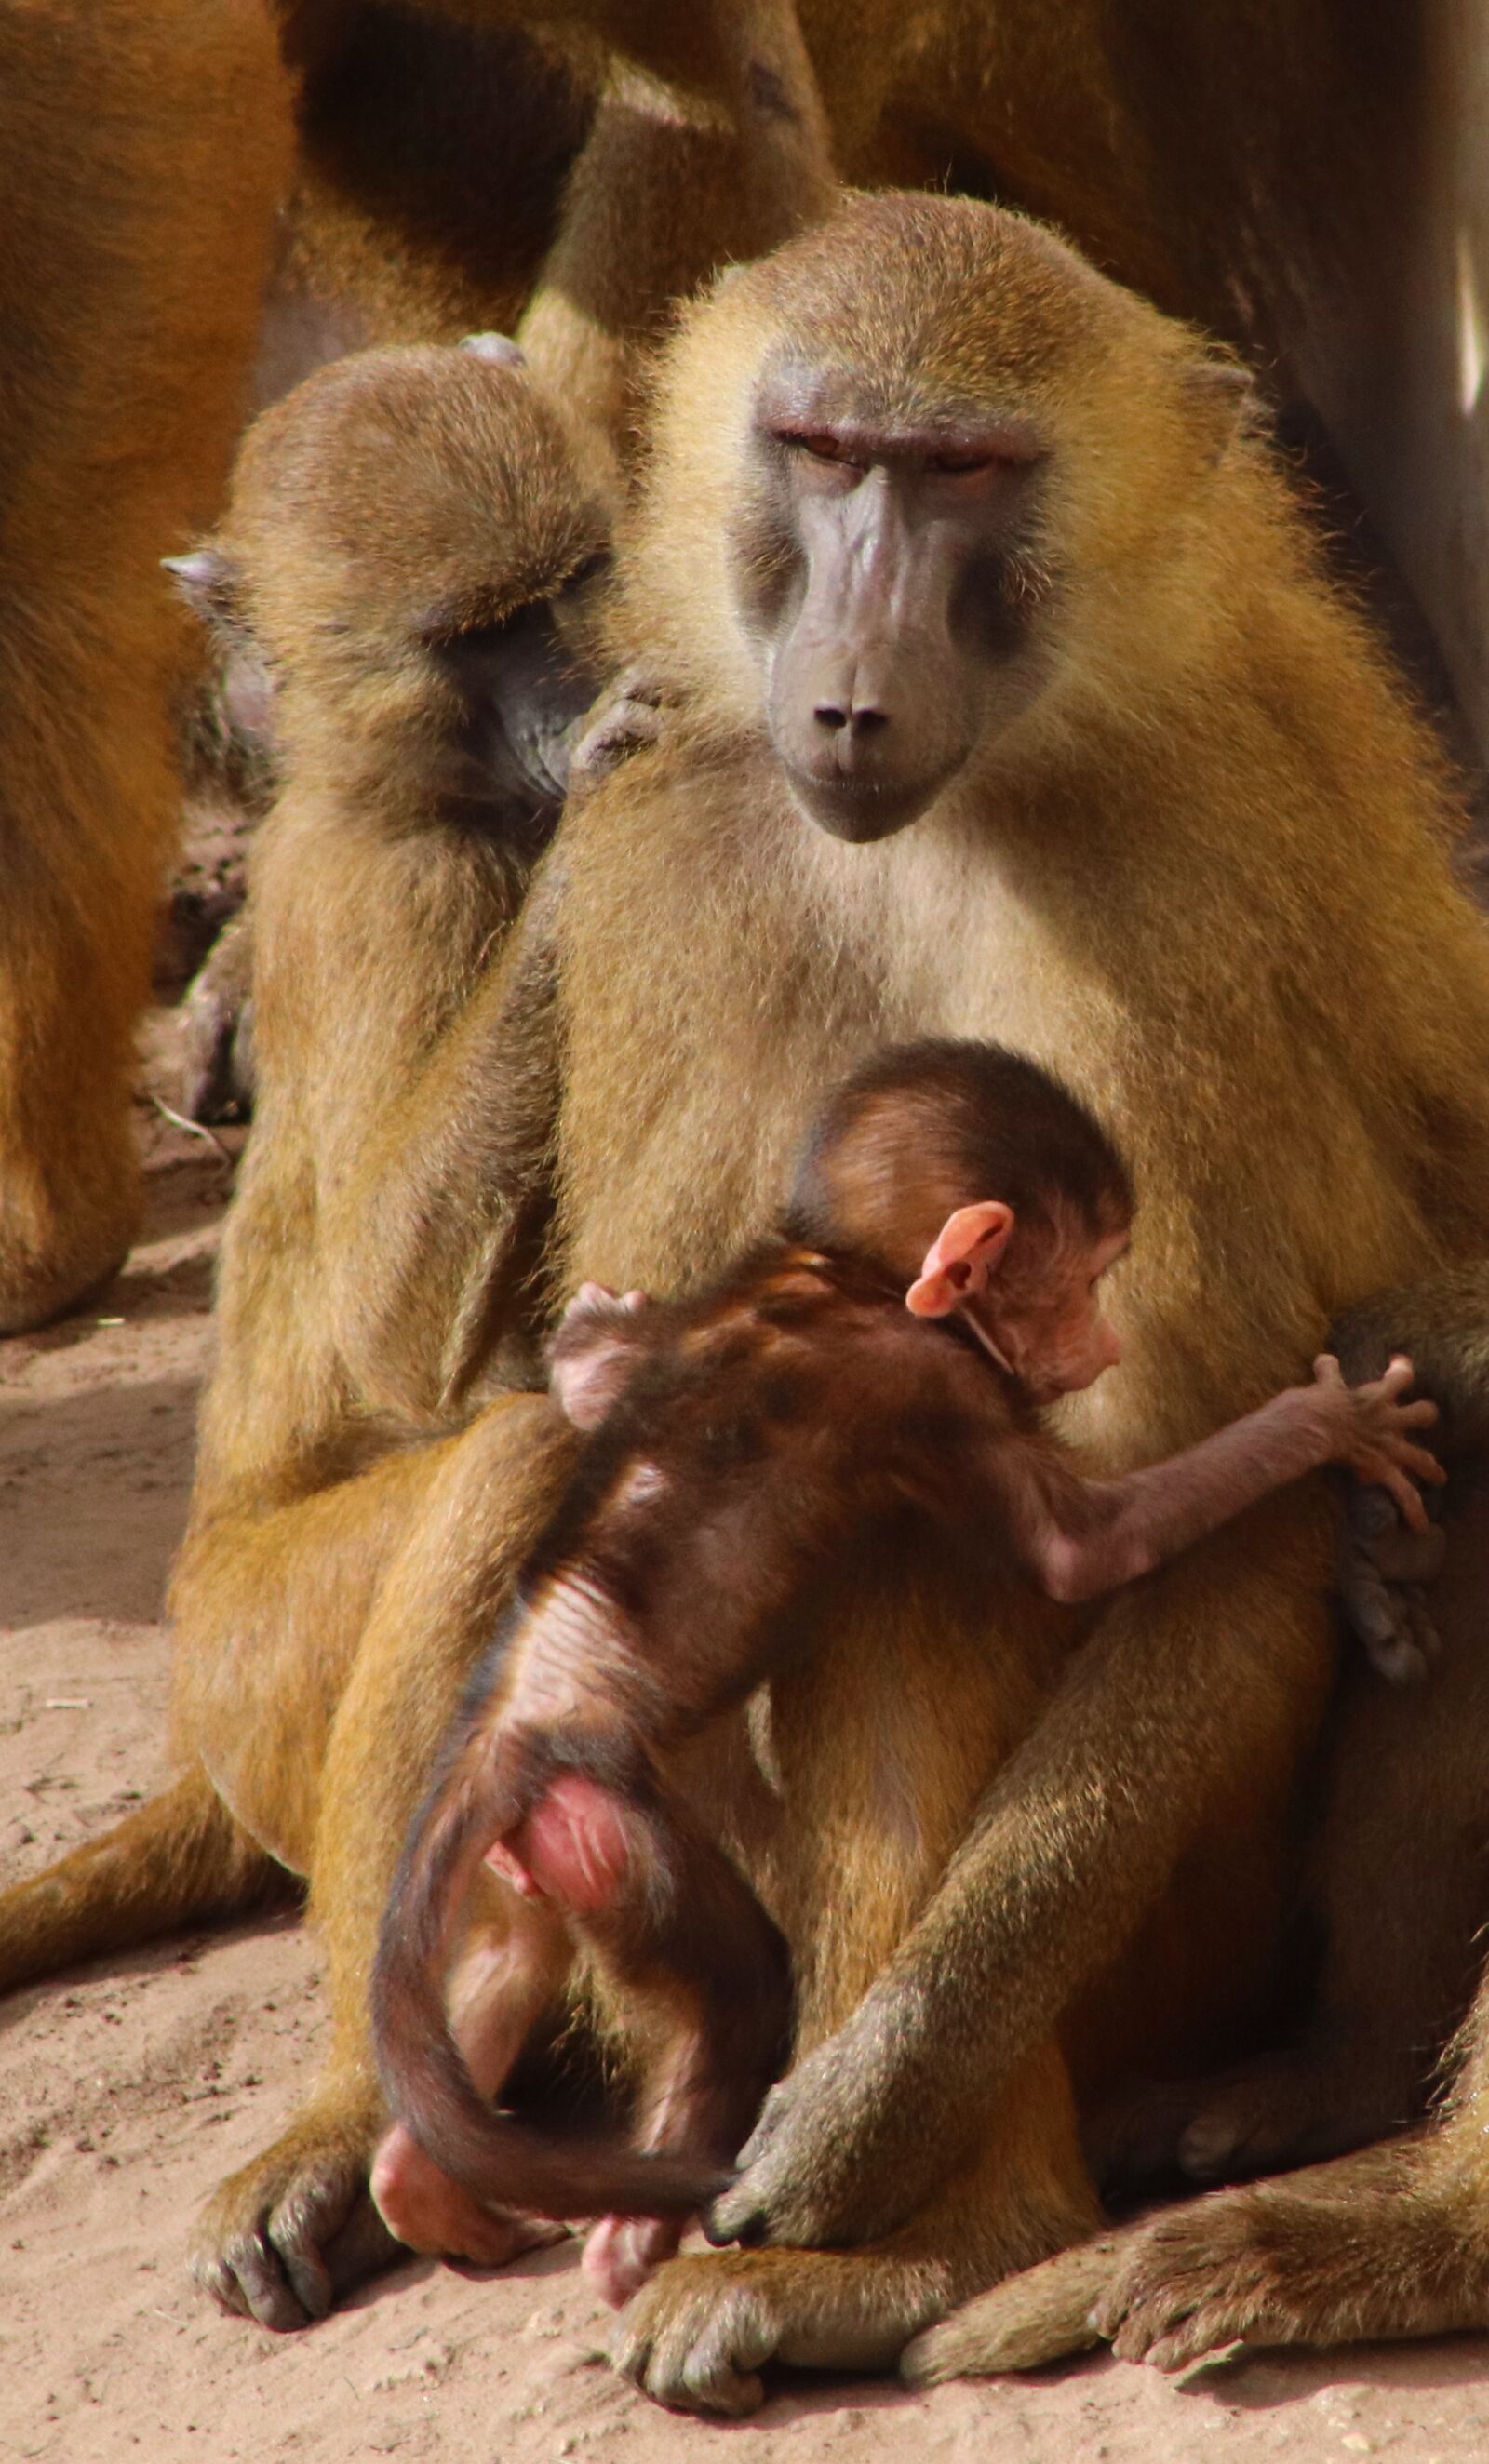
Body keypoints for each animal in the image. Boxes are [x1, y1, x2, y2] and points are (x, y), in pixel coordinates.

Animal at [371, 1035, 1442, 2311]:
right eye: (1084, 1278)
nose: (1106, 1344)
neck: (850, 1279)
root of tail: (501, 1724)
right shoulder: (934, 1385)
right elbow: (1083, 1550)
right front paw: (1319, 1422)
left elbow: (605, 1384)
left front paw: (594, 1331)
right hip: (597, 1817)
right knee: (730, 1988)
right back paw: (632, 2230)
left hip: (533, 1851)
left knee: (506, 1950)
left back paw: (414, 2183)